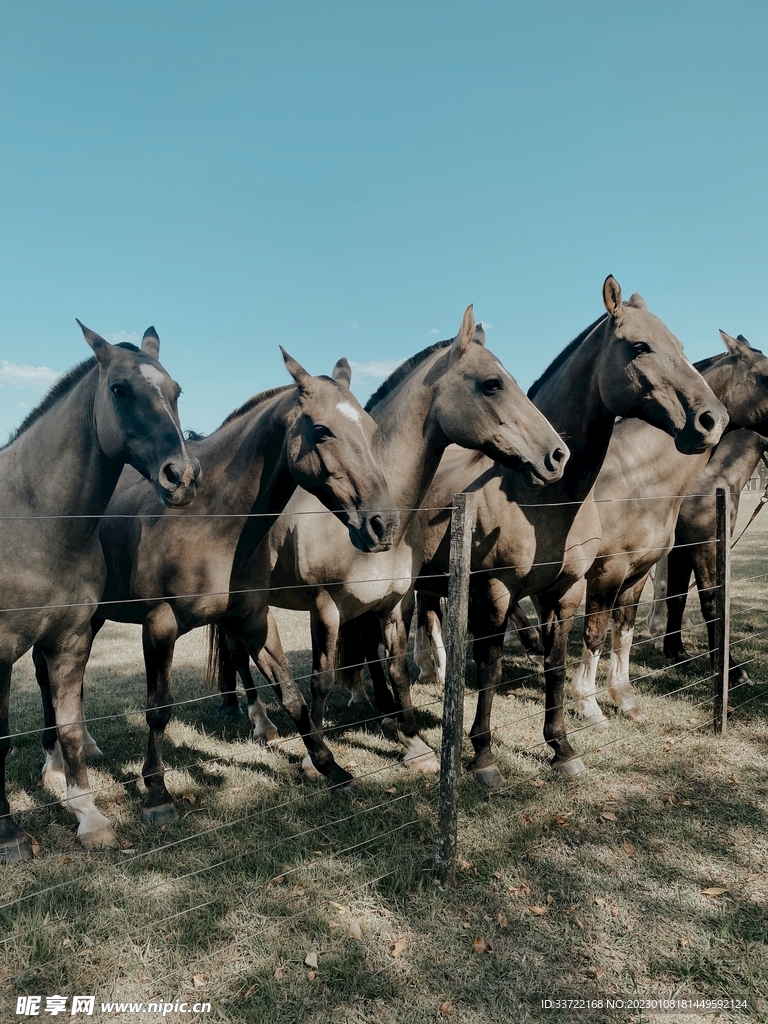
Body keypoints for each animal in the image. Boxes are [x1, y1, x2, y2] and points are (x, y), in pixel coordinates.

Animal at [0, 324, 200, 860]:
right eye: (119, 389)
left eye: (176, 391)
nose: (181, 476)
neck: (33, 520)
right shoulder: (0, 650)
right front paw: (8, 832)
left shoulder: (69, 638)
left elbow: (69, 726)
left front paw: (88, 817)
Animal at [37, 349, 400, 828]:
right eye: (322, 430)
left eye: (371, 430)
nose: (383, 524)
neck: (211, 521)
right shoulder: (159, 625)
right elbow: (158, 709)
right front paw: (156, 792)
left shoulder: (254, 620)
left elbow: (292, 695)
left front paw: (329, 767)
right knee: (44, 676)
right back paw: (54, 764)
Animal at [210, 305, 570, 780]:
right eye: (492, 383)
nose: (557, 455)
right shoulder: (325, 607)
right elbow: (321, 680)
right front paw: (315, 759)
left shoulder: (394, 603)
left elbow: (396, 670)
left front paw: (414, 743)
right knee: (239, 656)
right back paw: (262, 723)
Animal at [388, 277, 728, 785]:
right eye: (640, 347)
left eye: (682, 347)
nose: (712, 420)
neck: (538, 499)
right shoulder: (496, 592)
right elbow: (491, 670)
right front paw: (484, 758)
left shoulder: (565, 591)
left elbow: (556, 666)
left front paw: (562, 748)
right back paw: (407, 738)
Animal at [569, 333, 768, 726]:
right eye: (767, 375)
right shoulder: (697, 543)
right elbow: (709, 600)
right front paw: (729, 669)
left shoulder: (665, 554)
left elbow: (671, 597)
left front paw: (674, 651)